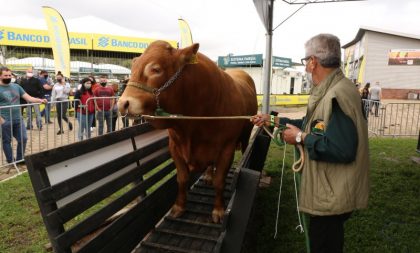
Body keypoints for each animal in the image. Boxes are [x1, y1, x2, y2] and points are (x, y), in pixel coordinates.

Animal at [116, 40, 258, 222]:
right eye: (132, 69)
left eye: (156, 69)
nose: (123, 104)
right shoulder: (175, 147)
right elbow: (182, 179)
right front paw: (179, 206)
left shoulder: (227, 148)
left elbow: (220, 181)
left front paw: (218, 210)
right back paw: (208, 175)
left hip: (246, 132)